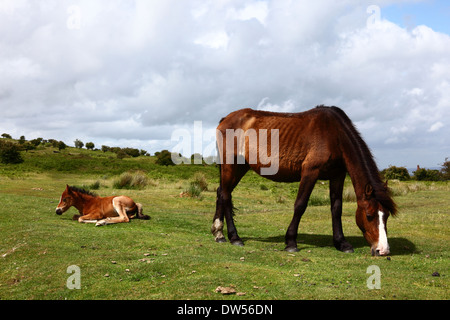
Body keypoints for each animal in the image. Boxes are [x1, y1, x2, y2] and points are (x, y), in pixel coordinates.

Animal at [212, 106, 398, 256]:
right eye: (369, 215)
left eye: (386, 216)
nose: (383, 250)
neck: (334, 135)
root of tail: (225, 119)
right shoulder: (310, 172)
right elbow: (300, 205)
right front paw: (291, 242)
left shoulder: (337, 175)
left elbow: (336, 208)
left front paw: (341, 243)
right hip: (230, 165)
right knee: (226, 195)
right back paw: (234, 237)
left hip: (240, 167)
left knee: (222, 192)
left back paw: (218, 233)